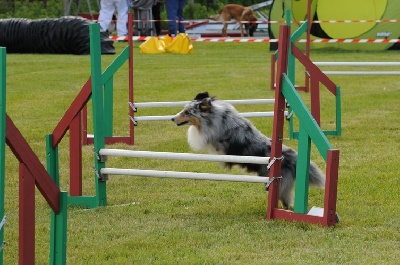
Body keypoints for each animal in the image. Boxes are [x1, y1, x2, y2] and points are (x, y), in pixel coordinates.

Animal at [171, 91, 324, 208]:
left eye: (187, 112)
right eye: (183, 110)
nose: (172, 118)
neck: (217, 117)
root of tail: (291, 157)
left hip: (278, 184)